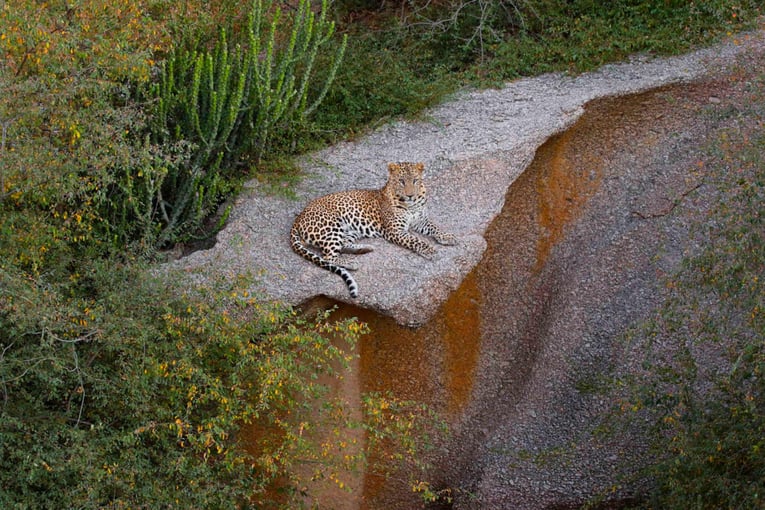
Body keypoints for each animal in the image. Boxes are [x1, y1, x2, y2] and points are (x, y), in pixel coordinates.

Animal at [288, 161, 454, 296]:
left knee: (343, 245)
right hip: (331, 227)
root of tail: (299, 216)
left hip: (349, 230)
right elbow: (415, 240)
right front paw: (429, 250)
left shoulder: (421, 221)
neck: (411, 205)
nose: (410, 195)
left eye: (415, 180)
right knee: (328, 256)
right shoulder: (395, 230)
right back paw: (352, 262)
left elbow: (434, 227)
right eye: (401, 181)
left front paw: (447, 237)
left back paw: (364, 249)